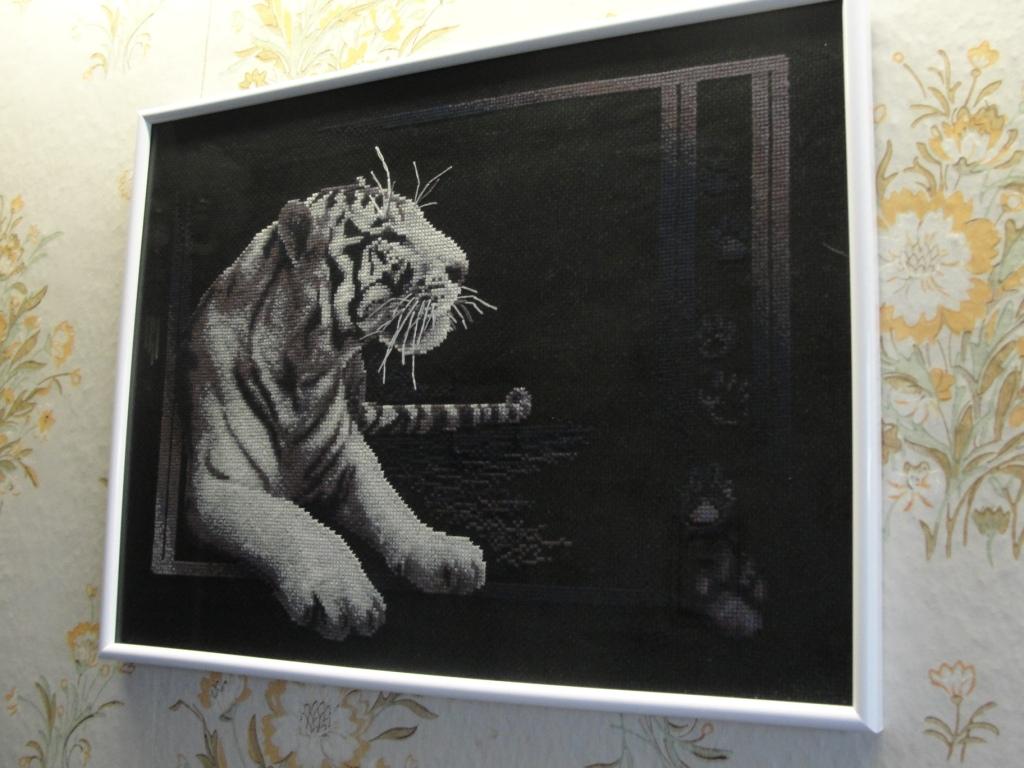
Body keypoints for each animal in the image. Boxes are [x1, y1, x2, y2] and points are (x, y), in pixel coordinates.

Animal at [186, 152, 501, 641]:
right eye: (390, 235)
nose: (462, 267)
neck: (308, 369)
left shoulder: (352, 458)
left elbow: (390, 506)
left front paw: (442, 552)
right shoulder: (216, 482)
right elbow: (295, 522)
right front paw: (342, 593)